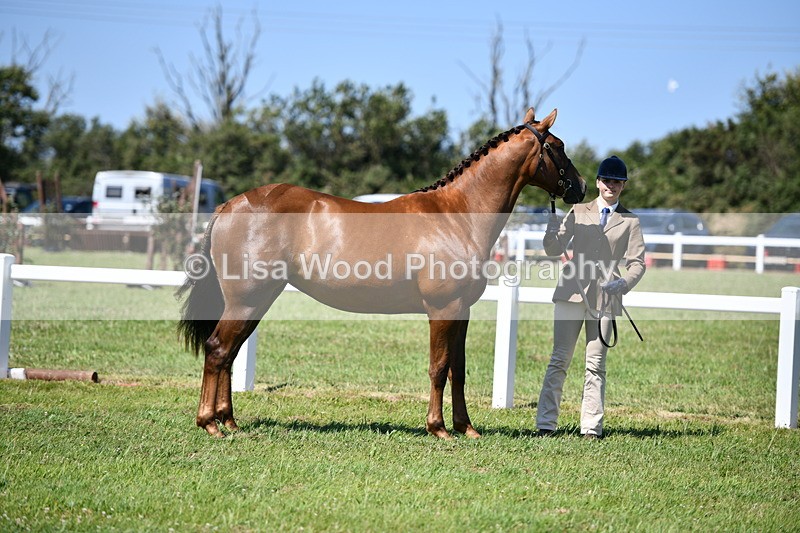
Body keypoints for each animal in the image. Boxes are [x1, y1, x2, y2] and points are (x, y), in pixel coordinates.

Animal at [177, 107, 586, 439]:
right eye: (558, 146)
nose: (581, 188)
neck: (457, 214)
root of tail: (229, 206)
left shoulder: (462, 310)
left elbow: (458, 369)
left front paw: (466, 427)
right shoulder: (442, 309)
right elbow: (438, 367)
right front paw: (438, 428)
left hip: (256, 302)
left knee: (229, 354)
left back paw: (230, 421)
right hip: (245, 301)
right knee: (218, 350)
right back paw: (210, 423)